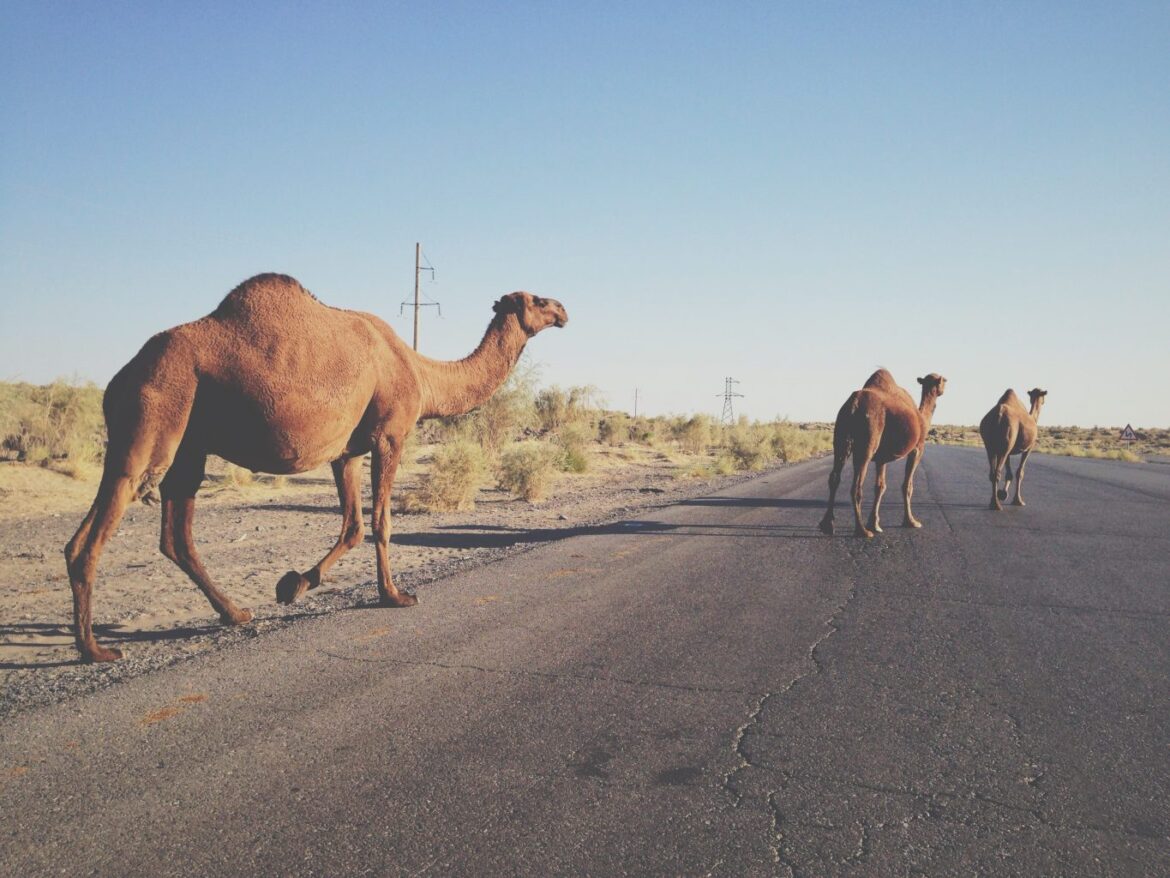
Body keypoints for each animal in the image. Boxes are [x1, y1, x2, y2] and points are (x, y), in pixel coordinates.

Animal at [65, 273, 568, 663]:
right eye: (537, 300)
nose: (564, 309)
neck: (422, 375)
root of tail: (118, 378)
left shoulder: (348, 451)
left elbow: (353, 527)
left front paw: (292, 585)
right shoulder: (390, 435)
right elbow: (382, 522)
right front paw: (395, 595)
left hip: (189, 443)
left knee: (174, 536)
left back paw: (235, 614)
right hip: (154, 416)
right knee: (97, 531)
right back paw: (95, 650)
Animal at [818, 369, 946, 538]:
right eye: (945, 380)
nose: (944, 388)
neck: (923, 420)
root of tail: (853, 404)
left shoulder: (881, 458)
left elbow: (880, 486)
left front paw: (874, 524)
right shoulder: (917, 449)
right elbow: (907, 485)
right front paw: (911, 521)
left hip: (840, 437)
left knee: (834, 477)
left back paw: (827, 525)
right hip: (868, 440)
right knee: (856, 486)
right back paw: (862, 530)